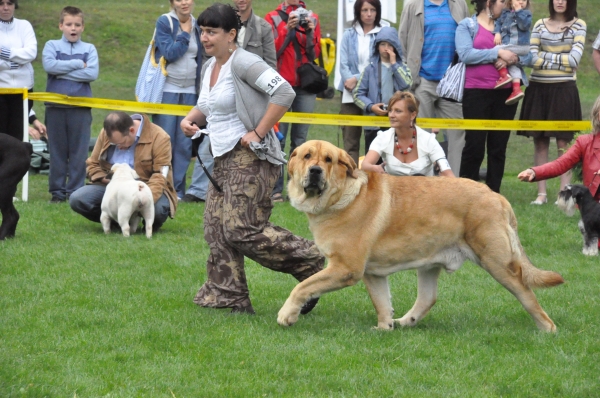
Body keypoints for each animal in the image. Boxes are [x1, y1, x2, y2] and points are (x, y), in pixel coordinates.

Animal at [278, 140, 564, 332]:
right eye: (307, 156)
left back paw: (547, 329)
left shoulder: (346, 268)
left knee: (526, 292)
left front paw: (287, 314)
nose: (315, 171)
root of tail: (497, 196)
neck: (341, 196)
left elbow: (302, 286)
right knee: (428, 298)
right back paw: (405, 321)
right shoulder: (371, 273)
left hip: (497, 261)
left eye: (328, 160)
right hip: (430, 263)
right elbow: (381, 302)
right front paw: (384, 327)